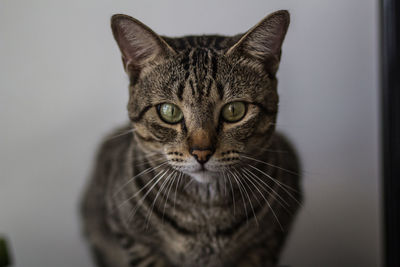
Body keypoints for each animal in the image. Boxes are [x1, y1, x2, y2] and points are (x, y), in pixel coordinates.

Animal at [80, 9, 300, 266]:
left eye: (234, 110)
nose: (201, 152)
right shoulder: (134, 240)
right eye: (169, 111)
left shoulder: (267, 241)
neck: (205, 215)